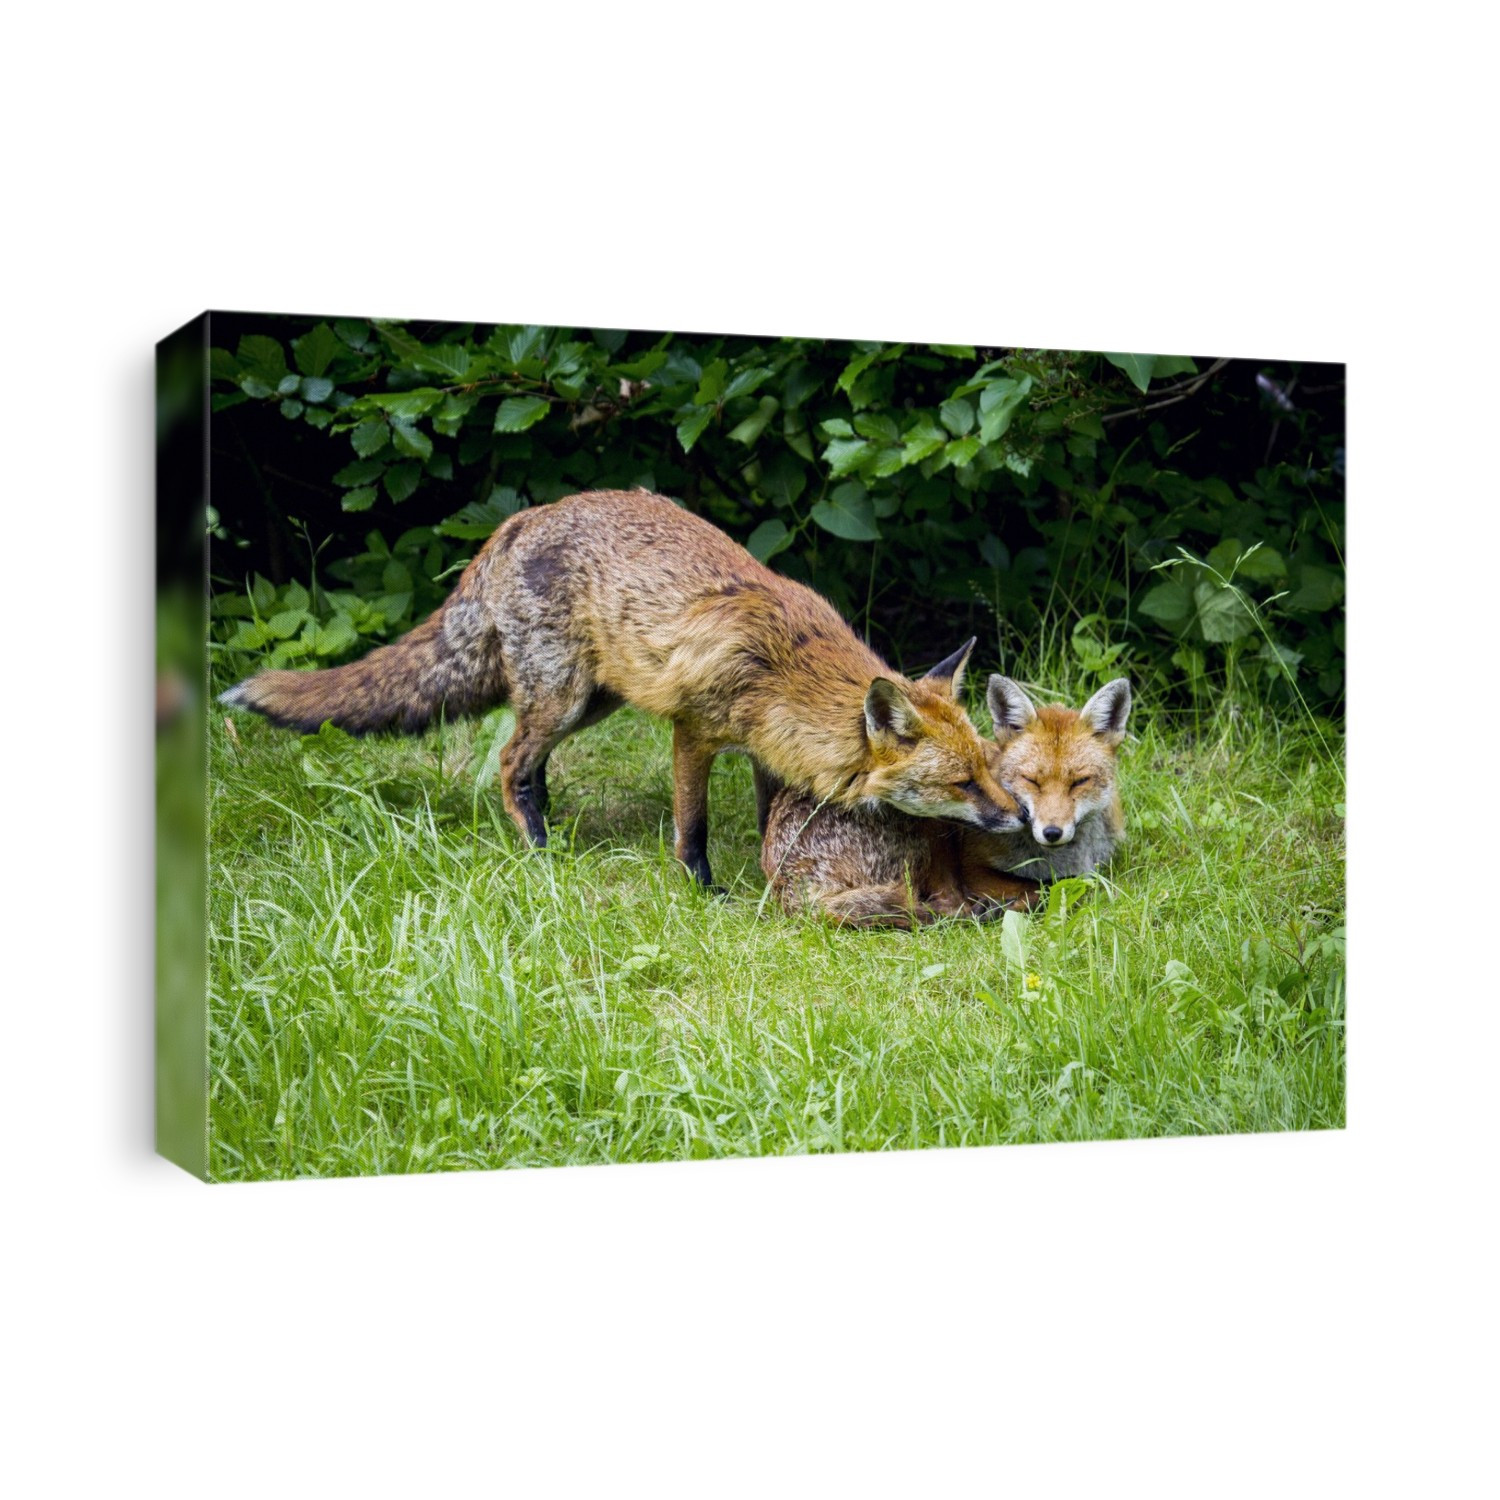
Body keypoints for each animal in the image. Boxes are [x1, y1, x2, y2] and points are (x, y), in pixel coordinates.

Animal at [221, 489, 1019, 889]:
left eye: (988, 768)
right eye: (960, 784)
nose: (1022, 818)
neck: (785, 668)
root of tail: (517, 520)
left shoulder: (767, 749)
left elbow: (770, 819)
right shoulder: (694, 731)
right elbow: (692, 825)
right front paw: (703, 890)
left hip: (592, 700)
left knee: (528, 762)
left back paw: (543, 823)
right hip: (564, 694)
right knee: (509, 762)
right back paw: (540, 850)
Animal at [760, 675, 1131, 928]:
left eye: (1079, 782)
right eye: (1032, 781)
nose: (1051, 831)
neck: (1059, 859)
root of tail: (785, 879)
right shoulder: (973, 867)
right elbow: (1049, 887)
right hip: (931, 826)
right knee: (946, 904)